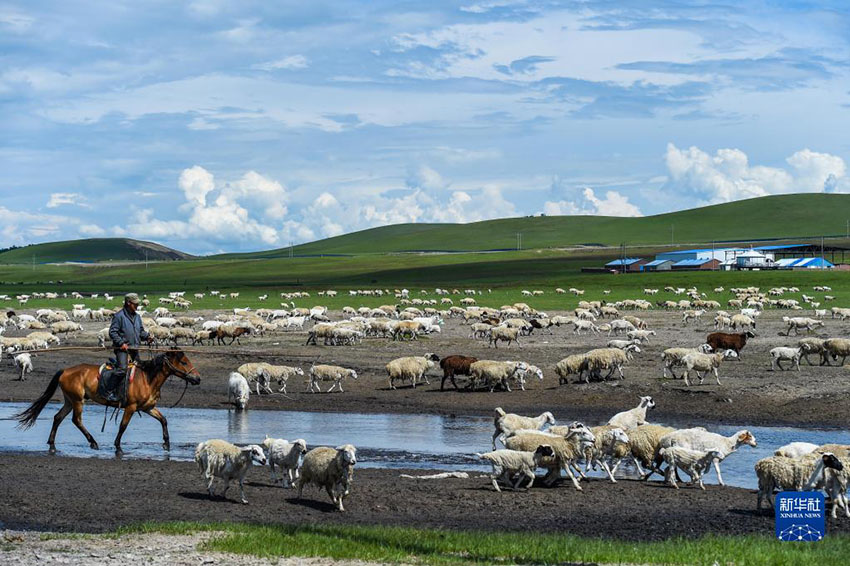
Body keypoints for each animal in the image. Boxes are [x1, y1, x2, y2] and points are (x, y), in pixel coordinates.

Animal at [14, 348, 200, 454]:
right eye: (183, 362)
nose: (197, 378)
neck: (147, 378)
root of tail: (66, 370)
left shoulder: (147, 408)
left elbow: (163, 420)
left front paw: (166, 444)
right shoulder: (131, 407)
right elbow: (123, 426)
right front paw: (117, 445)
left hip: (69, 400)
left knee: (58, 418)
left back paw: (52, 443)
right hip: (77, 401)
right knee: (76, 420)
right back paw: (93, 442)